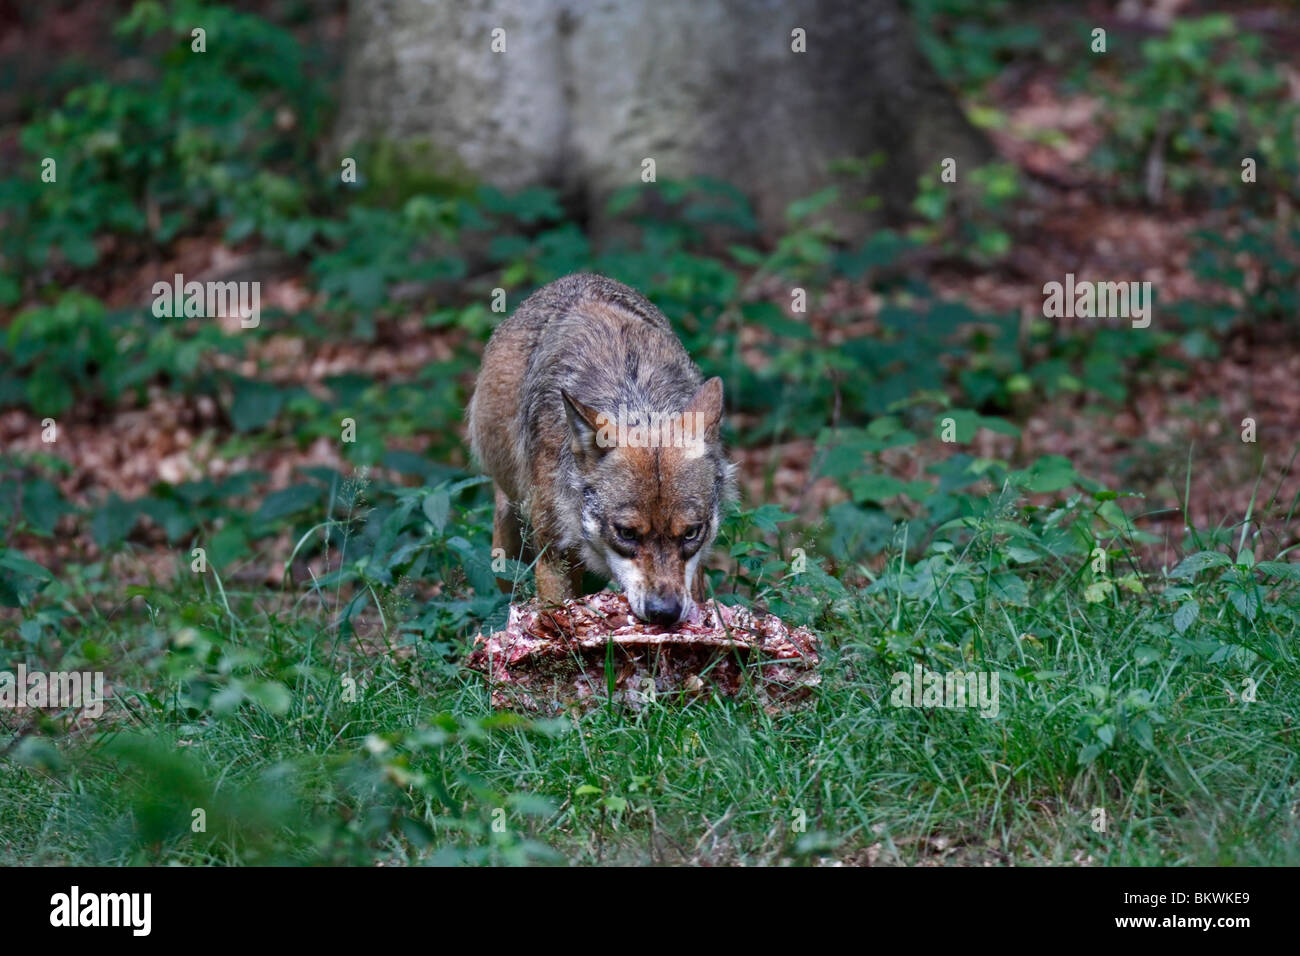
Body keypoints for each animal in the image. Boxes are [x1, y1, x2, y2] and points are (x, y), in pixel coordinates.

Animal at [467, 273, 738, 629]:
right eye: (627, 533)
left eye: (691, 533)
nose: (664, 613)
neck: (634, 396)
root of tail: (578, 277)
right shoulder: (553, 560)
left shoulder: (695, 568)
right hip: (509, 530)